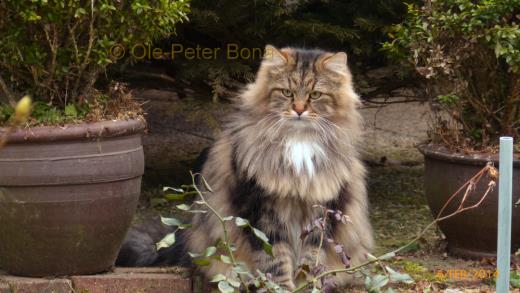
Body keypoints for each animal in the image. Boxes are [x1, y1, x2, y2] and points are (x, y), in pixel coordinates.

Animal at [116, 44, 372, 288]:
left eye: (316, 95)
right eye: (287, 92)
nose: (299, 110)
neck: (299, 142)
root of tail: (185, 236)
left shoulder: (322, 211)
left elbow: (311, 258)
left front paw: (309, 285)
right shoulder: (260, 209)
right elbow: (275, 259)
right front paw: (282, 287)